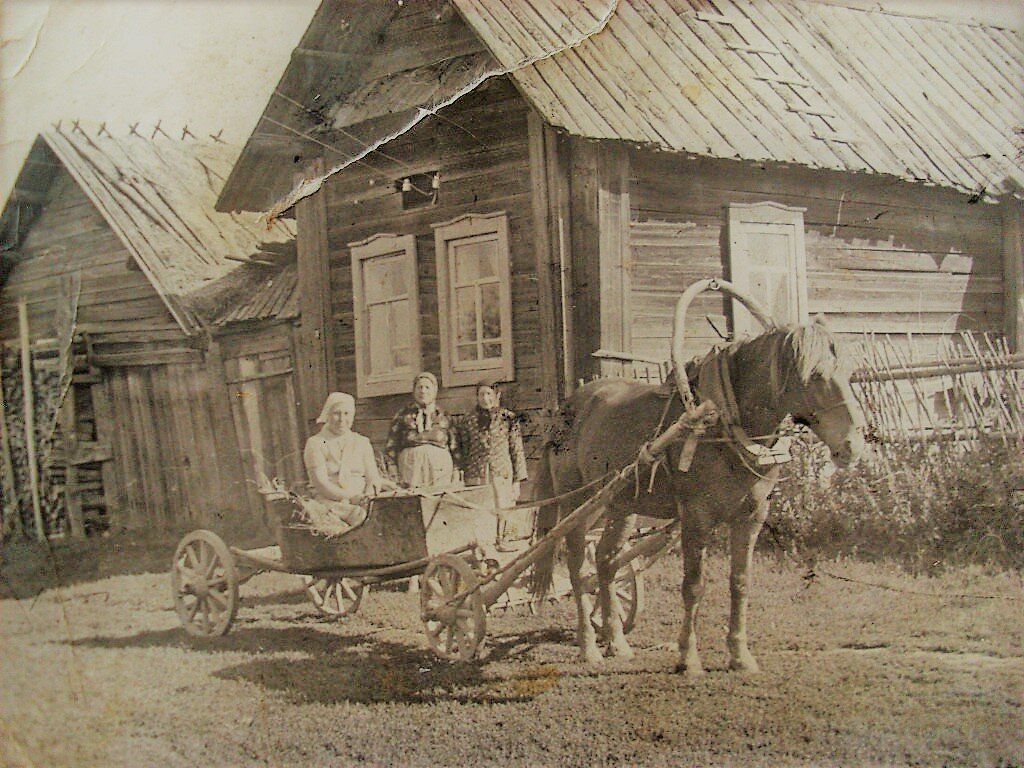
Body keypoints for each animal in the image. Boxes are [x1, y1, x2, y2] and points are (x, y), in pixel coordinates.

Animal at [536, 309, 864, 675]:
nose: (853, 445)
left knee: (606, 563)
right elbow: (693, 586)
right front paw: (689, 658)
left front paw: (740, 655)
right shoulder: (696, 517)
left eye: (848, 371)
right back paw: (589, 646)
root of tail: (568, 406)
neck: (724, 421)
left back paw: (617, 641)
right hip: (577, 503)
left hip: (621, 504)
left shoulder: (751, 517)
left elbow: (740, 582)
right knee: (579, 568)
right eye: (816, 375)